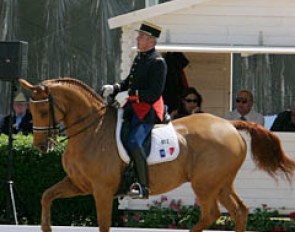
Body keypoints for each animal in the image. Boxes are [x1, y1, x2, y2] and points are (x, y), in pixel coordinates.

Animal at [19, 78, 295, 232]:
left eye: (42, 110)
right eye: (31, 109)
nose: (41, 146)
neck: (91, 131)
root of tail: (229, 125)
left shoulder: (102, 190)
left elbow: (104, 225)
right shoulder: (79, 184)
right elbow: (47, 196)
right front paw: (46, 228)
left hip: (205, 184)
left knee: (212, 214)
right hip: (220, 183)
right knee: (239, 211)